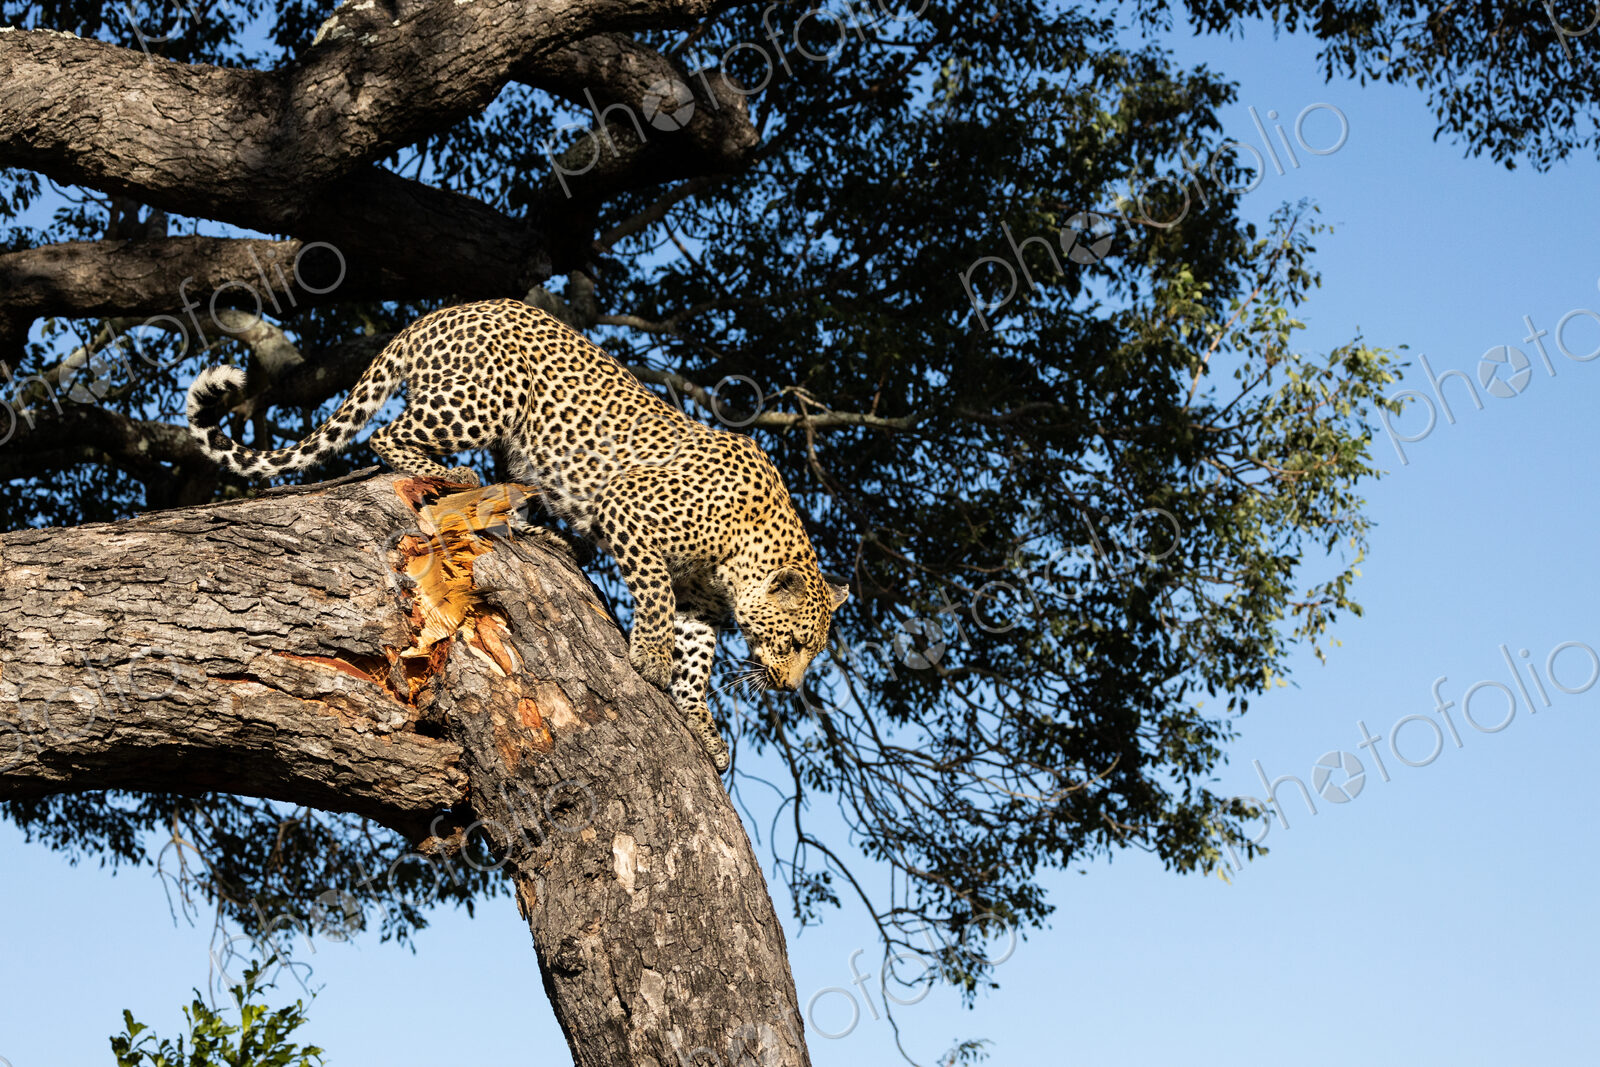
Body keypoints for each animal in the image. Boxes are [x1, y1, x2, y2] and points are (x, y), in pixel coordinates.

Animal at [185, 298, 849, 773]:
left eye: (812, 653)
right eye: (794, 644)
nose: (789, 687)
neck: (740, 558)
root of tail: (439, 311)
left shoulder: (699, 604)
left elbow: (697, 661)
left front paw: (703, 727)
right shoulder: (628, 509)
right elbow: (656, 597)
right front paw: (651, 658)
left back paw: (536, 530)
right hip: (488, 397)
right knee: (387, 435)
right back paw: (455, 475)